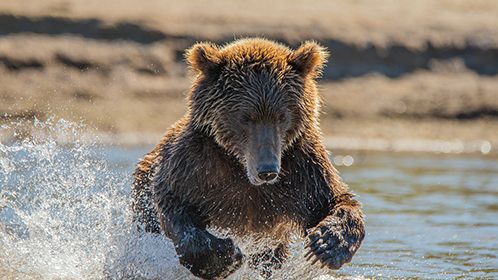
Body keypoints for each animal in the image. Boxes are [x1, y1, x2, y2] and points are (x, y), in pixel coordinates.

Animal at [132, 37, 366, 280]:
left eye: (282, 116)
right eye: (245, 117)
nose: (267, 170)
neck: (241, 167)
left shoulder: (303, 169)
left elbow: (335, 200)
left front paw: (328, 244)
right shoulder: (195, 165)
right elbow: (175, 205)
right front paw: (226, 256)